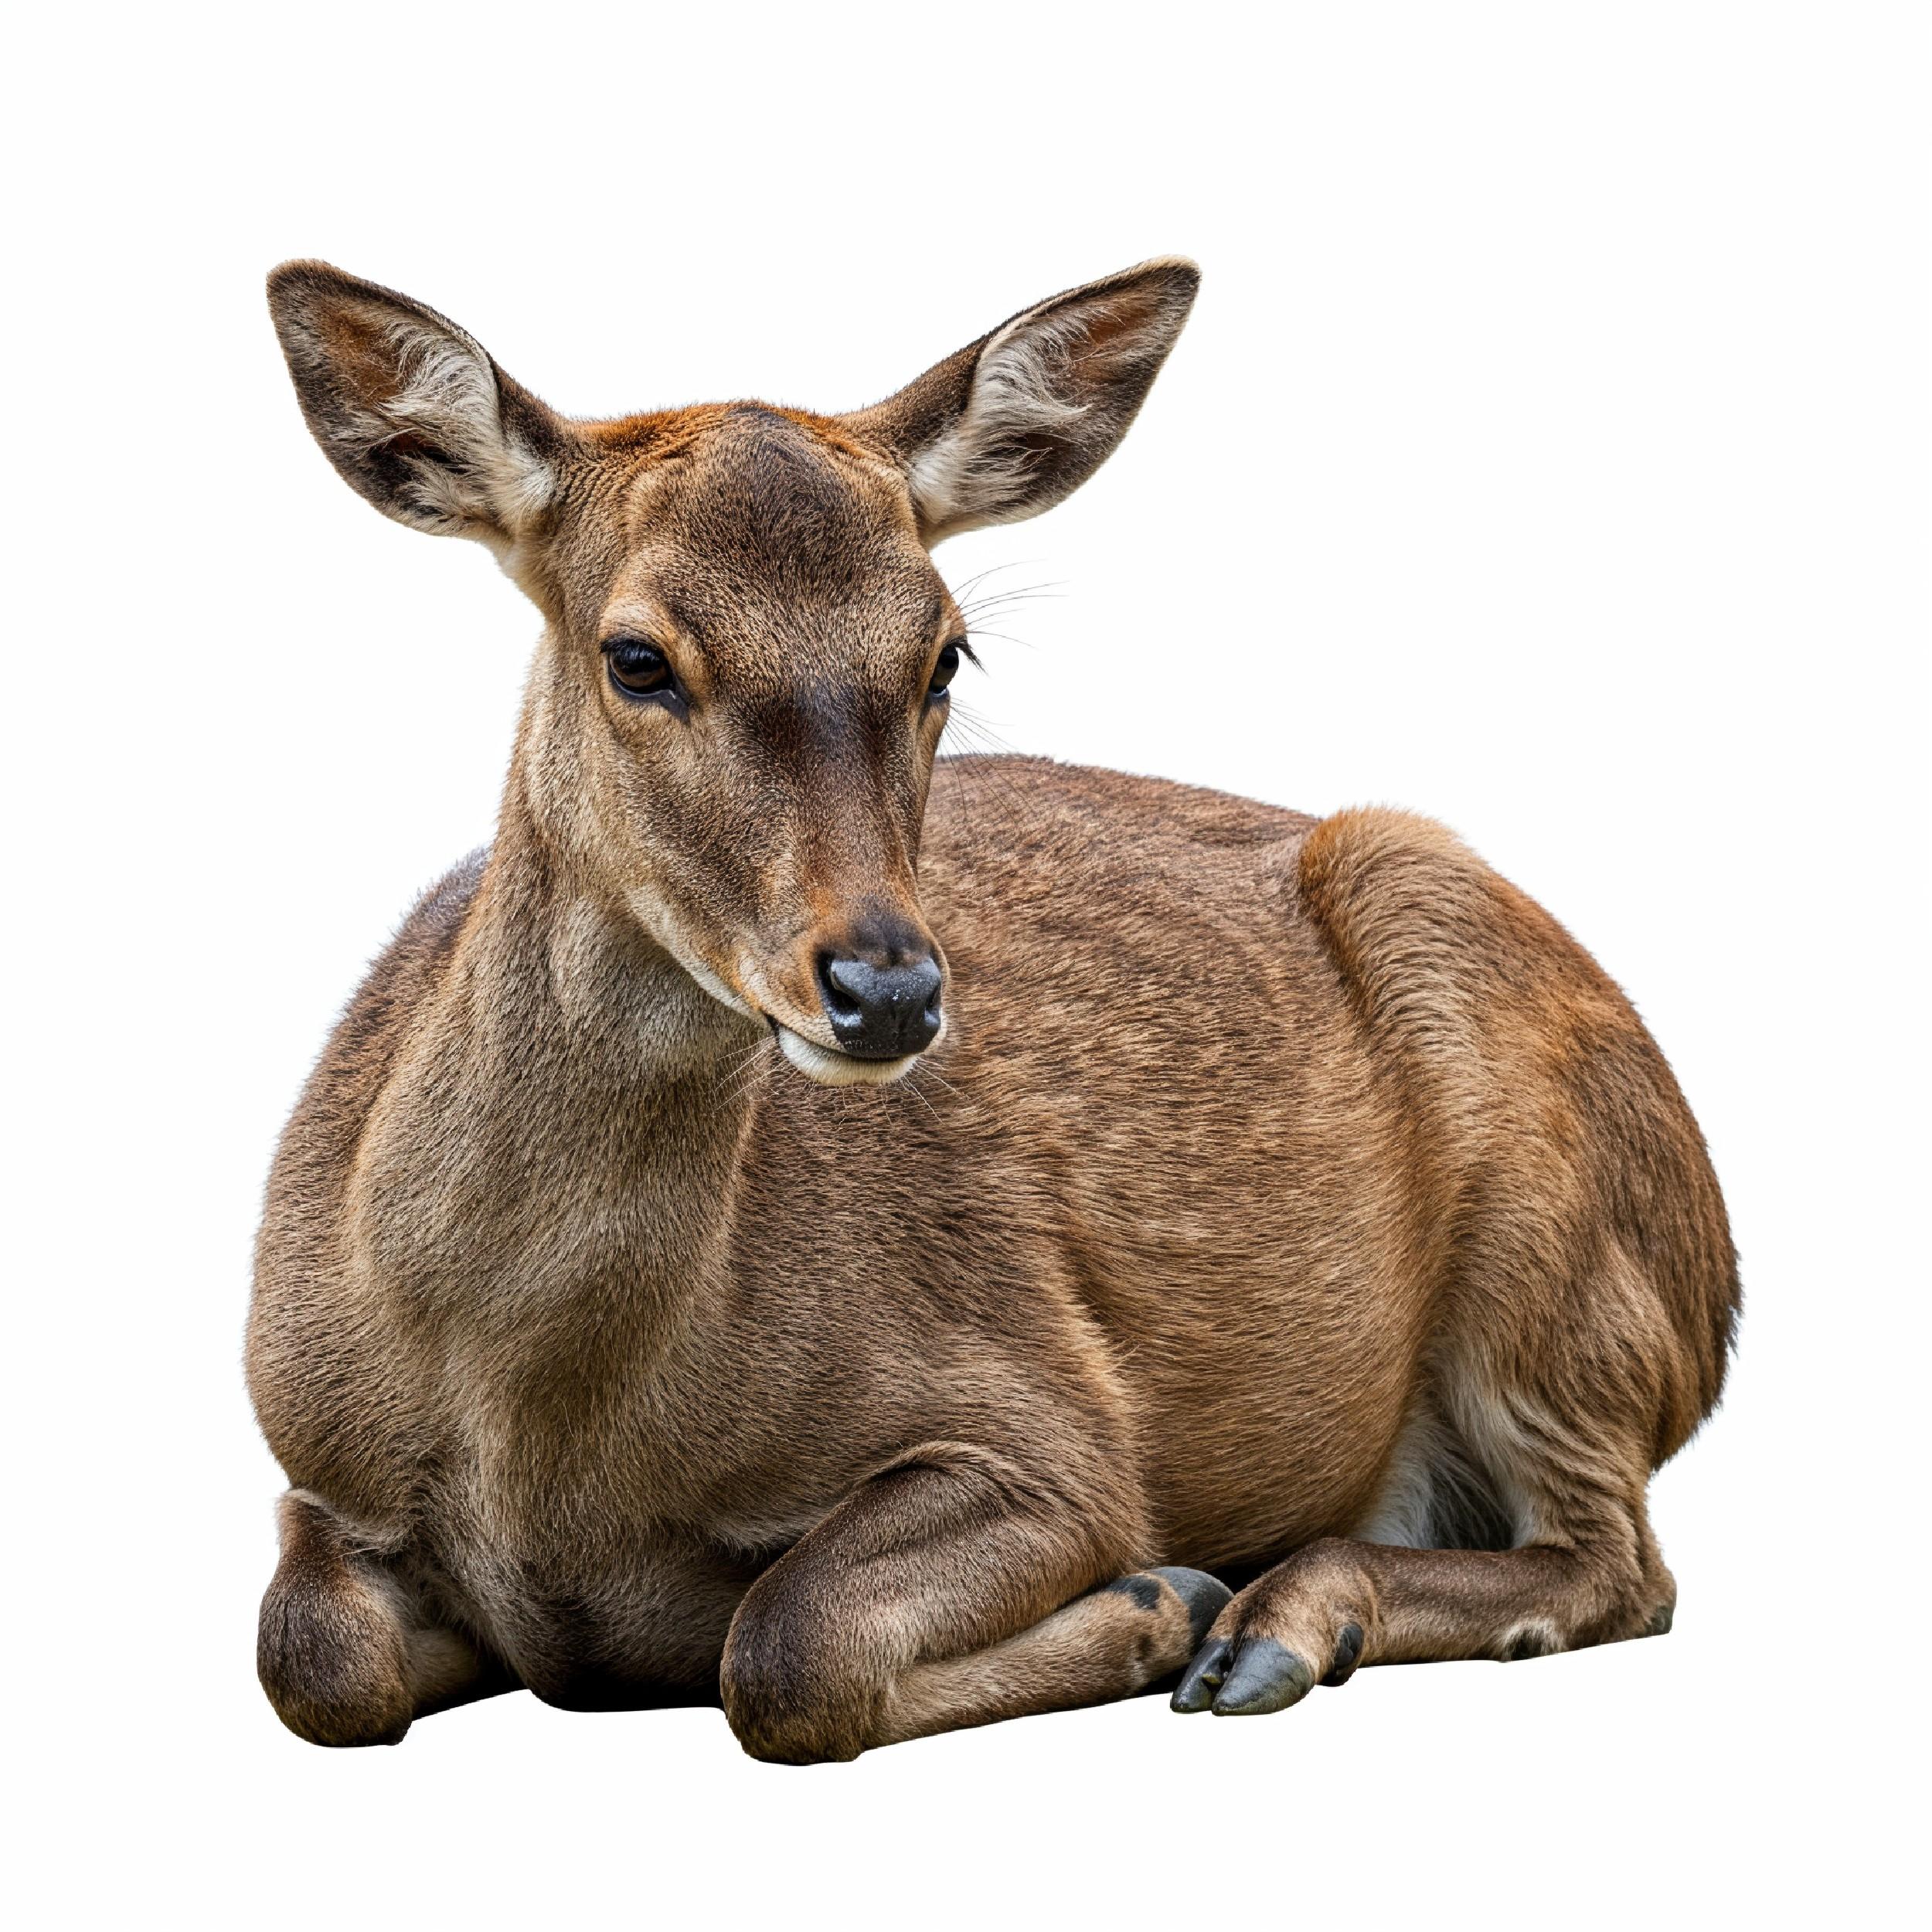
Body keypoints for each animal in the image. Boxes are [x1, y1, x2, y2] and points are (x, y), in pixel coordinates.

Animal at [249, 255, 1738, 1761]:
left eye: (946, 655)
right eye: (637, 656)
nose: (889, 991)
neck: (537, 1434)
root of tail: (1717, 1292)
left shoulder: (1049, 1422)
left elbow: (786, 1643)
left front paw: (1159, 1600)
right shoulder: (309, 1464)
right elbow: (311, 1655)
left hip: (1559, 1244)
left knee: (1620, 1563)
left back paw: (1268, 1625)